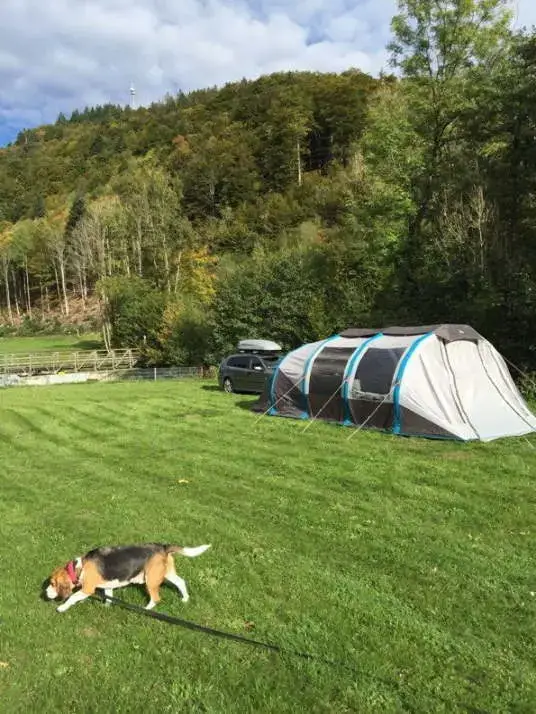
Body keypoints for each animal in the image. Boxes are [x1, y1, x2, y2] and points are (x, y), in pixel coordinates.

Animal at [45, 542, 211, 613]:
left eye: (53, 583)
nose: (45, 593)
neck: (79, 567)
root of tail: (163, 547)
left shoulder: (87, 589)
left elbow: (73, 597)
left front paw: (62, 607)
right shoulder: (108, 585)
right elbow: (109, 595)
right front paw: (106, 606)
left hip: (151, 579)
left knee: (156, 598)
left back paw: (145, 610)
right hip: (166, 573)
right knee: (181, 582)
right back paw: (185, 599)